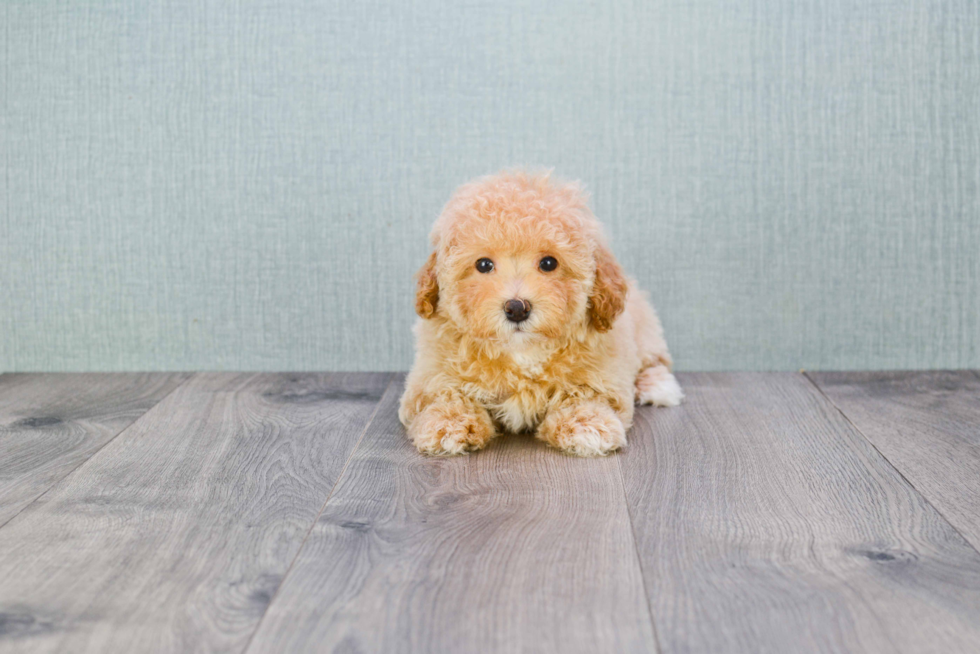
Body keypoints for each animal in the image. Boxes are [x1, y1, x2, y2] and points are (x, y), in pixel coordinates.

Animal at [398, 170, 680, 456]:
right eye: (483, 264)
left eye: (548, 263)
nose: (516, 308)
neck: (522, 351)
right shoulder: (431, 372)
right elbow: (444, 392)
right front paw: (449, 422)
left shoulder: (605, 370)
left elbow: (588, 393)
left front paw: (586, 424)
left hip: (644, 327)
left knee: (654, 361)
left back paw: (658, 386)